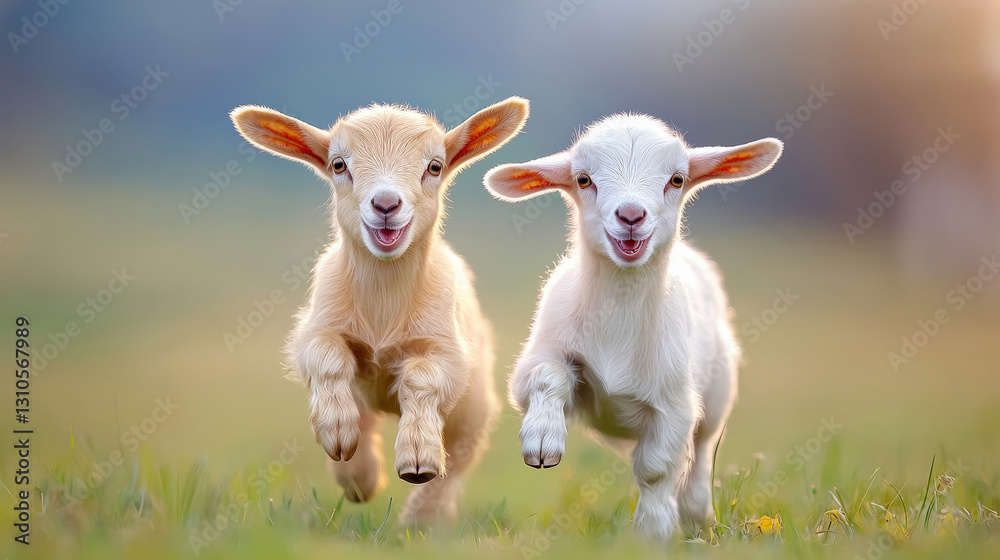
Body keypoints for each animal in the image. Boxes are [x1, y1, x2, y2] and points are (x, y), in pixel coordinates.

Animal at [230, 97, 529, 524]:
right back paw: (359, 478)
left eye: (434, 166)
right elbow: (327, 359)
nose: (386, 205)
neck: (384, 305)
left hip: (475, 405)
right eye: (339, 164)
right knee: (365, 418)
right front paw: (337, 433)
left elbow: (422, 380)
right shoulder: (316, 329)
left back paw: (424, 518)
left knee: (459, 458)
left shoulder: (447, 351)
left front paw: (418, 457)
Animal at [484, 113, 782, 540]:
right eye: (584, 179)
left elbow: (655, 469)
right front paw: (542, 440)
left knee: (700, 456)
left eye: (676, 179)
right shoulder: (538, 357)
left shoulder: (675, 404)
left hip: (717, 396)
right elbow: (546, 378)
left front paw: (653, 532)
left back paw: (695, 516)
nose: (630, 216)